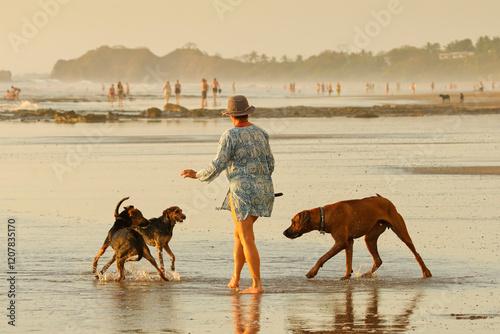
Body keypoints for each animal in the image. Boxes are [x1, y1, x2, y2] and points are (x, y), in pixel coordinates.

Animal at [284, 194, 432, 280]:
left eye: (293, 222)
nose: (284, 232)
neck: (325, 216)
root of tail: (385, 199)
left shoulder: (340, 242)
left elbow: (323, 257)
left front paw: (312, 272)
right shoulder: (348, 242)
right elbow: (348, 261)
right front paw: (347, 275)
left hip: (400, 231)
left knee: (416, 253)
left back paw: (426, 271)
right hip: (370, 237)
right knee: (378, 260)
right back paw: (366, 274)